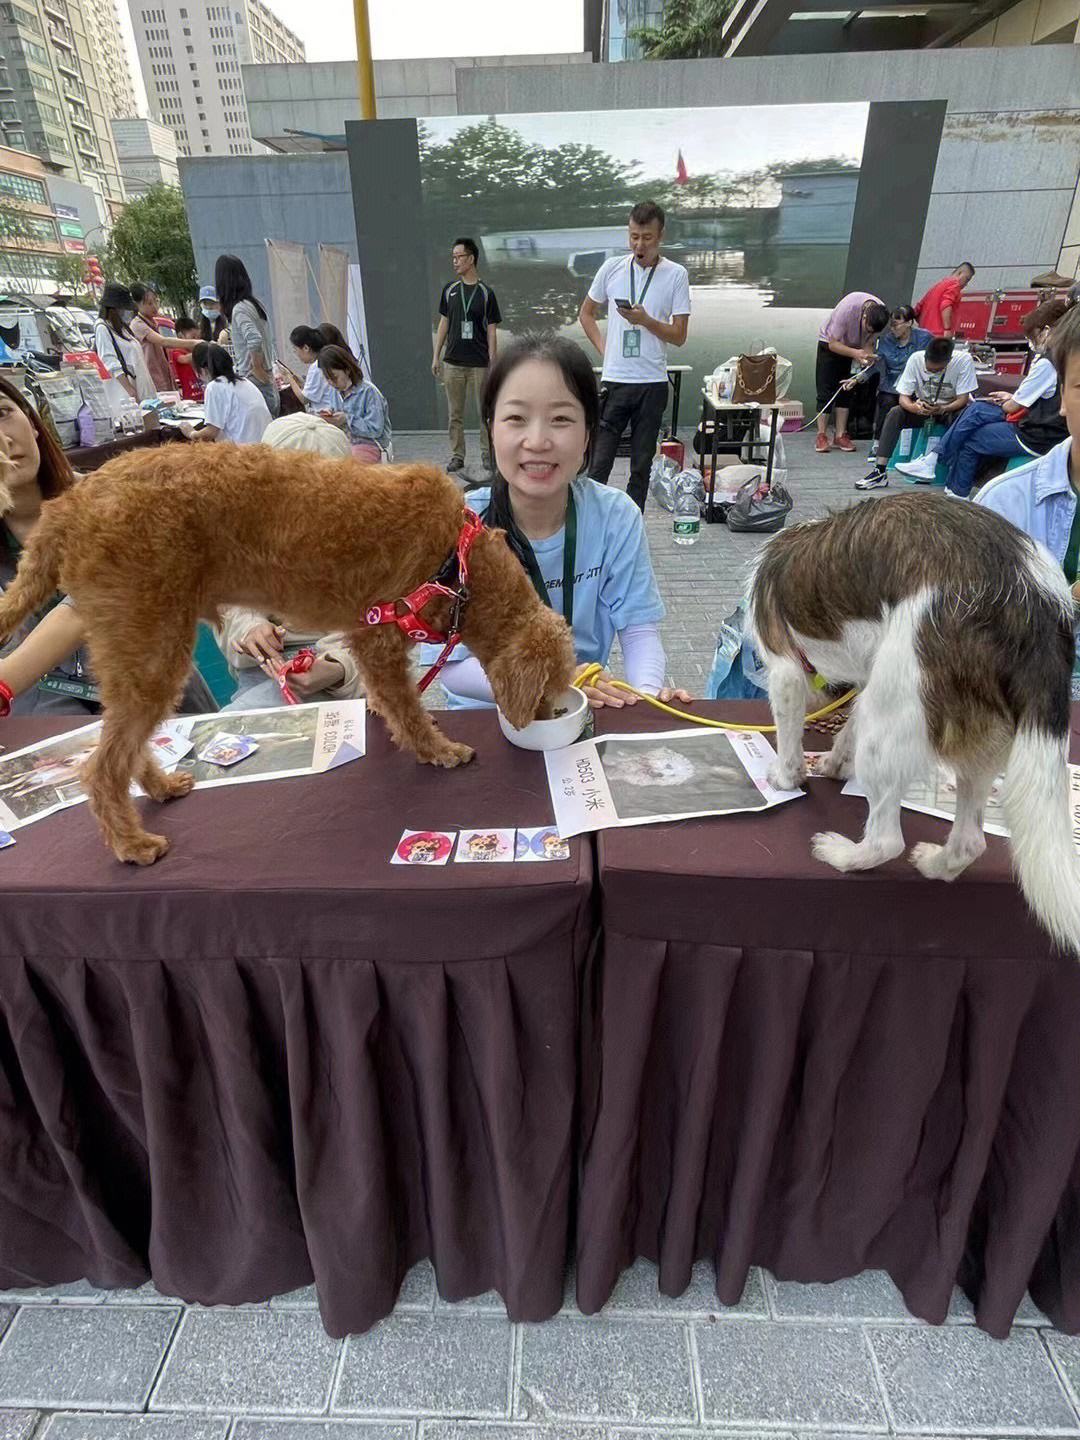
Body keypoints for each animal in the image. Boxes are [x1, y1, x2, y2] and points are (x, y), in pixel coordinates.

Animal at [0, 443, 578, 858]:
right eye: (547, 692)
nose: (554, 720)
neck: (460, 564)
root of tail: (67, 508)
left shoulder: (363, 635)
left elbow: (388, 697)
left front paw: (381, 712)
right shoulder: (380, 633)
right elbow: (407, 705)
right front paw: (438, 750)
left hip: (143, 644)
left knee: (124, 746)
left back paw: (160, 787)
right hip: (151, 642)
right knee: (102, 766)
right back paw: (133, 844)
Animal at [754, 489, 1080, 950]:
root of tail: (1034, 606)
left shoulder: (784, 668)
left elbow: (789, 737)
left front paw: (787, 777)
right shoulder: (867, 677)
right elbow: (849, 724)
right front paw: (835, 762)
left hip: (891, 720)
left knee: (887, 840)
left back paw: (842, 854)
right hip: (977, 735)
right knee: (970, 841)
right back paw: (936, 864)